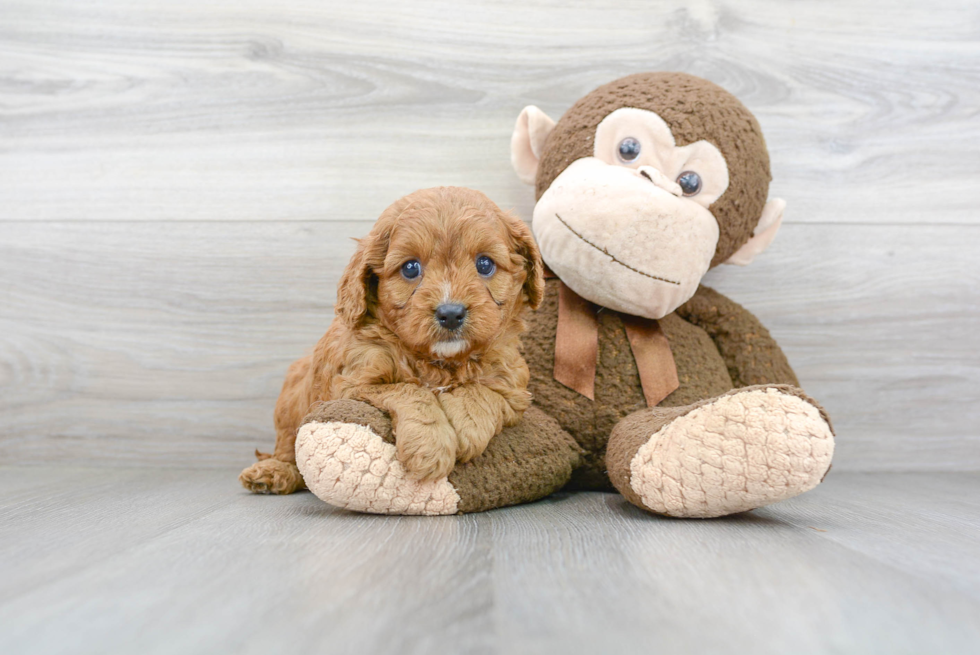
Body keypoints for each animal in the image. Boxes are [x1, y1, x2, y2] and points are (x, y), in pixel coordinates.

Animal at [238, 187, 544, 494]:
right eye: (410, 268)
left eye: (485, 264)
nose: (450, 314)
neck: (439, 361)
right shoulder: (350, 384)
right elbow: (409, 391)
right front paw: (429, 447)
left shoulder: (513, 385)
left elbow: (482, 391)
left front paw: (468, 425)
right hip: (291, 402)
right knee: (288, 449)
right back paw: (272, 473)